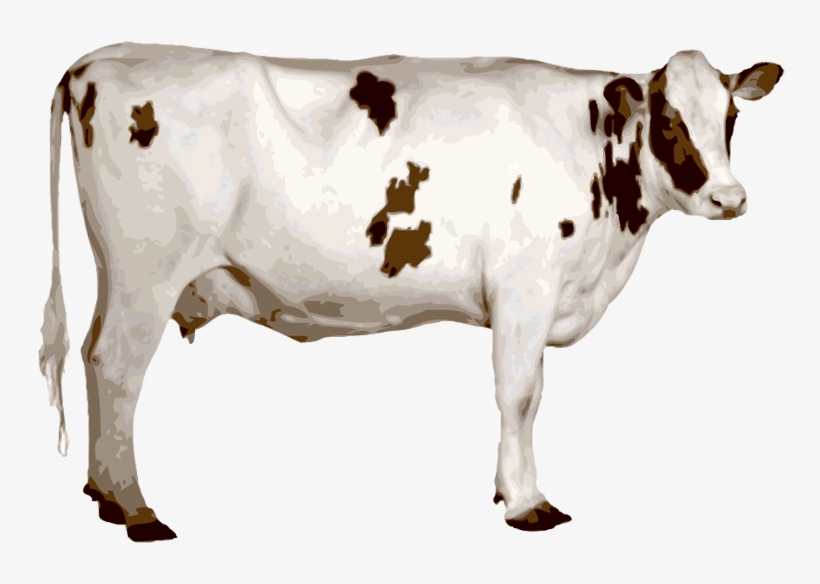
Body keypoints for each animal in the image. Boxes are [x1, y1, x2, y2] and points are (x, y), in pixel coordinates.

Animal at [39, 43, 783, 541]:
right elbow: (521, 395)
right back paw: (136, 509)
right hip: (147, 270)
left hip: (118, 272)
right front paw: (527, 503)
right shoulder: (525, 289)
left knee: (93, 355)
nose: (730, 197)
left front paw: (505, 490)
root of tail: (99, 60)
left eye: (730, 119)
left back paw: (101, 492)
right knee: (118, 367)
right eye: (669, 120)